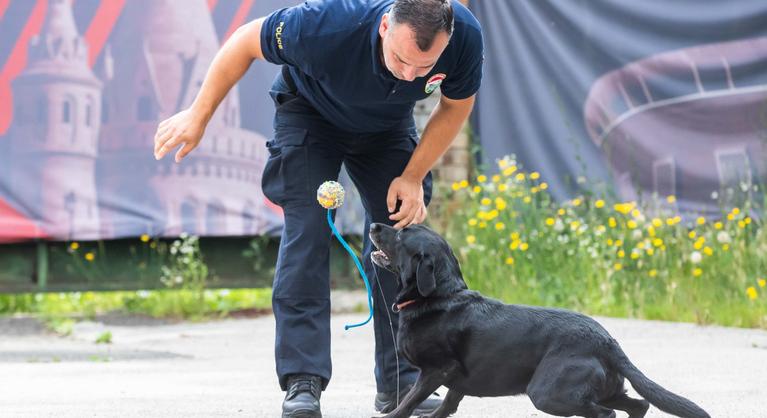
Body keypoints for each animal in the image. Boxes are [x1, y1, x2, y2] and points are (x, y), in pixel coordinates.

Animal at [368, 224, 712, 418]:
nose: (372, 224)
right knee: (638, 406)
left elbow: (408, 403)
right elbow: (448, 404)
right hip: (602, 387)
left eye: (401, 233)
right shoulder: (458, 379)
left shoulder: (437, 370)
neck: (439, 296)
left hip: (548, 392)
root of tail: (607, 342)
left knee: (607, 413)